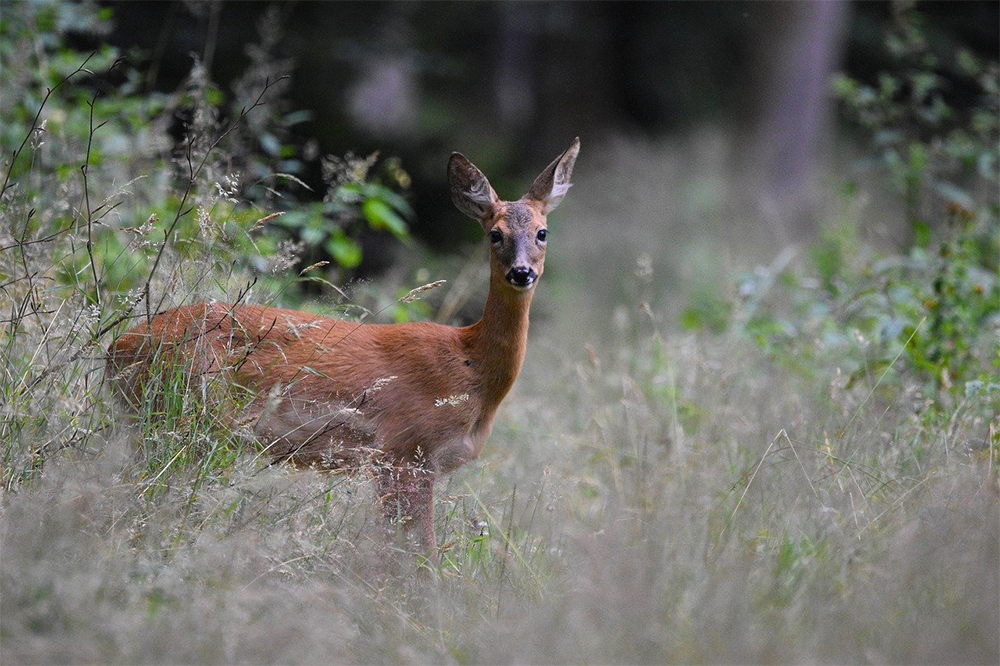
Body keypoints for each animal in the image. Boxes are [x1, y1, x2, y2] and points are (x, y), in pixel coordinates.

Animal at [106, 138, 580, 555]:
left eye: (542, 232)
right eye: (495, 234)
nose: (521, 272)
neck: (471, 365)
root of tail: (117, 348)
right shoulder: (405, 449)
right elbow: (418, 558)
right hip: (186, 415)